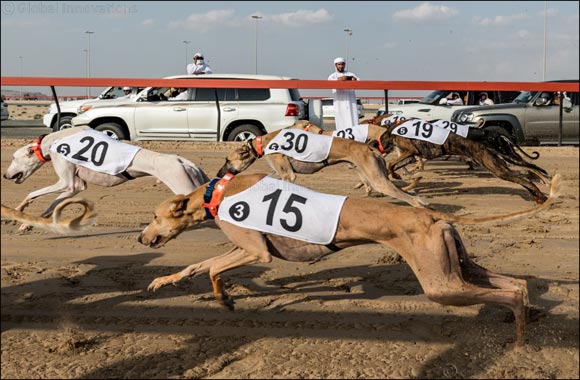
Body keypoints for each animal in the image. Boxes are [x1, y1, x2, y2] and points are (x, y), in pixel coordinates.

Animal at [3, 127, 211, 232]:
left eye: (13, 157)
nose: (5, 175)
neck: (53, 140)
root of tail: (185, 162)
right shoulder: (75, 187)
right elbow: (50, 206)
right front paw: (25, 223)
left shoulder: (65, 183)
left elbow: (32, 193)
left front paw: (19, 211)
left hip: (183, 186)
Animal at [138, 174, 560, 346]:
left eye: (154, 216)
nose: (141, 237)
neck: (219, 192)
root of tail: (431, 216)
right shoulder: (245, 249)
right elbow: (195, 266)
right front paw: (162, 282)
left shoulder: (254, 250)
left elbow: (211, 268)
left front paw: (224, 298)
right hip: (459, 266)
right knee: (518, 285)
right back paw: (529, 318)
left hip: (441, 286)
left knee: (509, 295)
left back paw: (519, 341)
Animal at [215, 130, 428, 208]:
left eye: (227, 159)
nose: (218, 174)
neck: (263, 142)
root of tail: (369, 147)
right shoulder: (280, 172)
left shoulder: (287, 174)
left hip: (378, 180)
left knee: (409, 198)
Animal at [372, 123, 552, 203]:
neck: (392, 131)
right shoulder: (411, 156)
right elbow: (393, 165)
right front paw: (395, 175)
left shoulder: (410, 151)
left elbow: (391, 163)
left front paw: (395, 174)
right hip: (501, 162)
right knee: (527, 173)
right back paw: (539, 192)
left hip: (497, 166)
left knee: (526, 177)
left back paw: (541, 195)